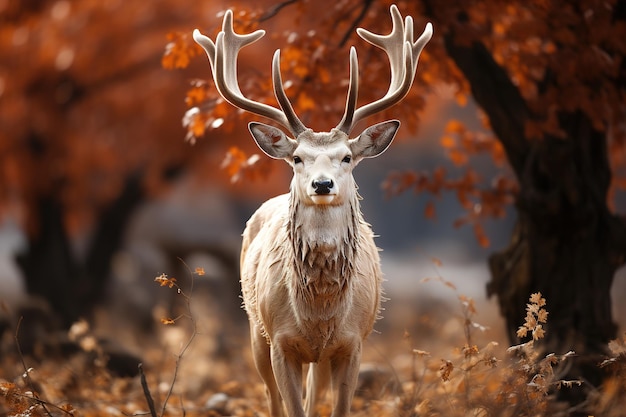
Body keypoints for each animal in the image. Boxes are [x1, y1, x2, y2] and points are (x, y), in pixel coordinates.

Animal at [193, 4, 432, 416]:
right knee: (271, 396)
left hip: (319, 357)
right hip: (255, 327)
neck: (319, 314)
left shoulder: (354, 342)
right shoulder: (279, 340)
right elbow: (290, 405)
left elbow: (338, 406)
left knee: (312, 388)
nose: (322, 184)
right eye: (297, 158)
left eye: (348, 157)